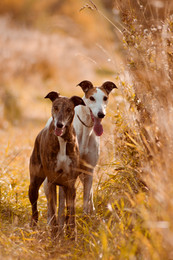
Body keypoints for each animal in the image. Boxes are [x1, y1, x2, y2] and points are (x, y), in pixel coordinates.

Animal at [28, 91, 85, 238]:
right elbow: (53, 211)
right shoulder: (52, 181)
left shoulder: (70, 184)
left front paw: (72, 235)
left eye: (69, 109)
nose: (59, 124)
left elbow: (71, 212)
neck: (62, 141)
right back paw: (34, 226)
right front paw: (54, 235)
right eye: (55, 107)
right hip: (34, 184)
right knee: (35, 208)